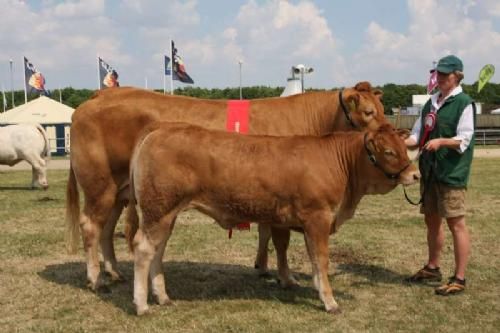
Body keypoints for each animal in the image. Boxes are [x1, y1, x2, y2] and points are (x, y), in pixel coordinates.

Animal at [66, 83, 386, 290]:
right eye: (369, 112)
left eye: (383, 109)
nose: (391, 132)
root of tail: (101, 94)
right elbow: (279, 240)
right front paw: (285, 277)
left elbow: (265, 234)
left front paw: (262, 267)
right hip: (99, 185)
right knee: (90, 225)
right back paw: (96, 279)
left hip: (118, 192)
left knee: (107, 229)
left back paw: (114, 272)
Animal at [127, 121, 420, 314]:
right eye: (388, 152)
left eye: (405, 148)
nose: (415, 175)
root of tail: (159, 130)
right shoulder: (318, 218)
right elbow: (321, 260)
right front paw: (330, 301)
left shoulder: (291, 220)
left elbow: (292, 252)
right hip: (158, 209)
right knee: (144, 249)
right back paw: (142, 305)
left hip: (166, 213)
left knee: (158, 250)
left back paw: (163, 297)